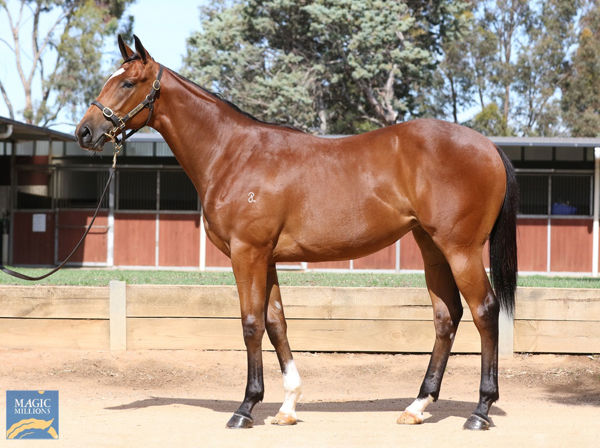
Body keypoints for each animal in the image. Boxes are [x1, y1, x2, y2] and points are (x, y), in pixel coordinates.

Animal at [74, 36, 516, 430]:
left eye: (128, 83)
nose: (84, 132)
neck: (233, 153)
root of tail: (489, 147)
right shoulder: (266, 257)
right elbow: (276, 323)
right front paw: (287, 407)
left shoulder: (247, 253)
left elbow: (251, 323)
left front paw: (245, 408)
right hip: (431, 247)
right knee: (447, 315)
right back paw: (417, 406)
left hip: (460, 249)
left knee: (484, 311)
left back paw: (480, 411)